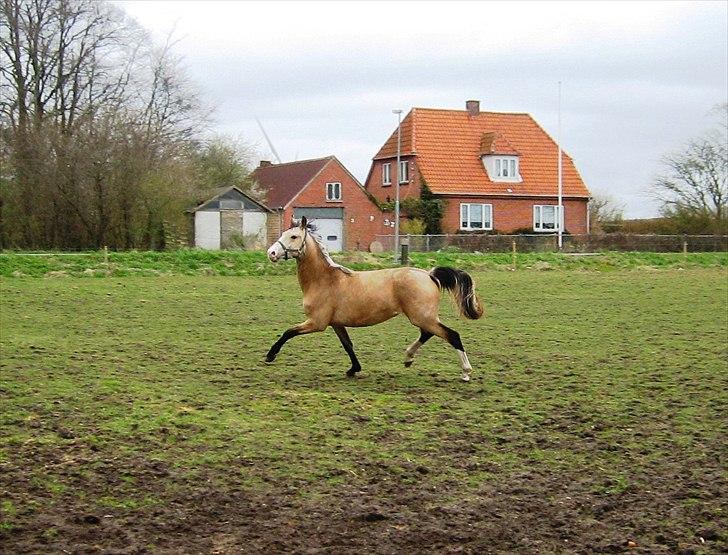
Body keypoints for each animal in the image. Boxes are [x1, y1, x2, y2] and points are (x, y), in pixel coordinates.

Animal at [264, 217, 484, 382]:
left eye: (293, 236)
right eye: (282, 234)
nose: (271, 253)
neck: (325, 280)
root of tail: (429, 274)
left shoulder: (317, 323)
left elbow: (288, 332)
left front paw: (270, 355)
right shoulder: (336, 323)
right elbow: (348, 345)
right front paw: (354, 369)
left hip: (421, 316)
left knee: (452, 335)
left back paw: (465, 372)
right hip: (423, 317)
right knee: (428, 333)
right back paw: (408, 358)